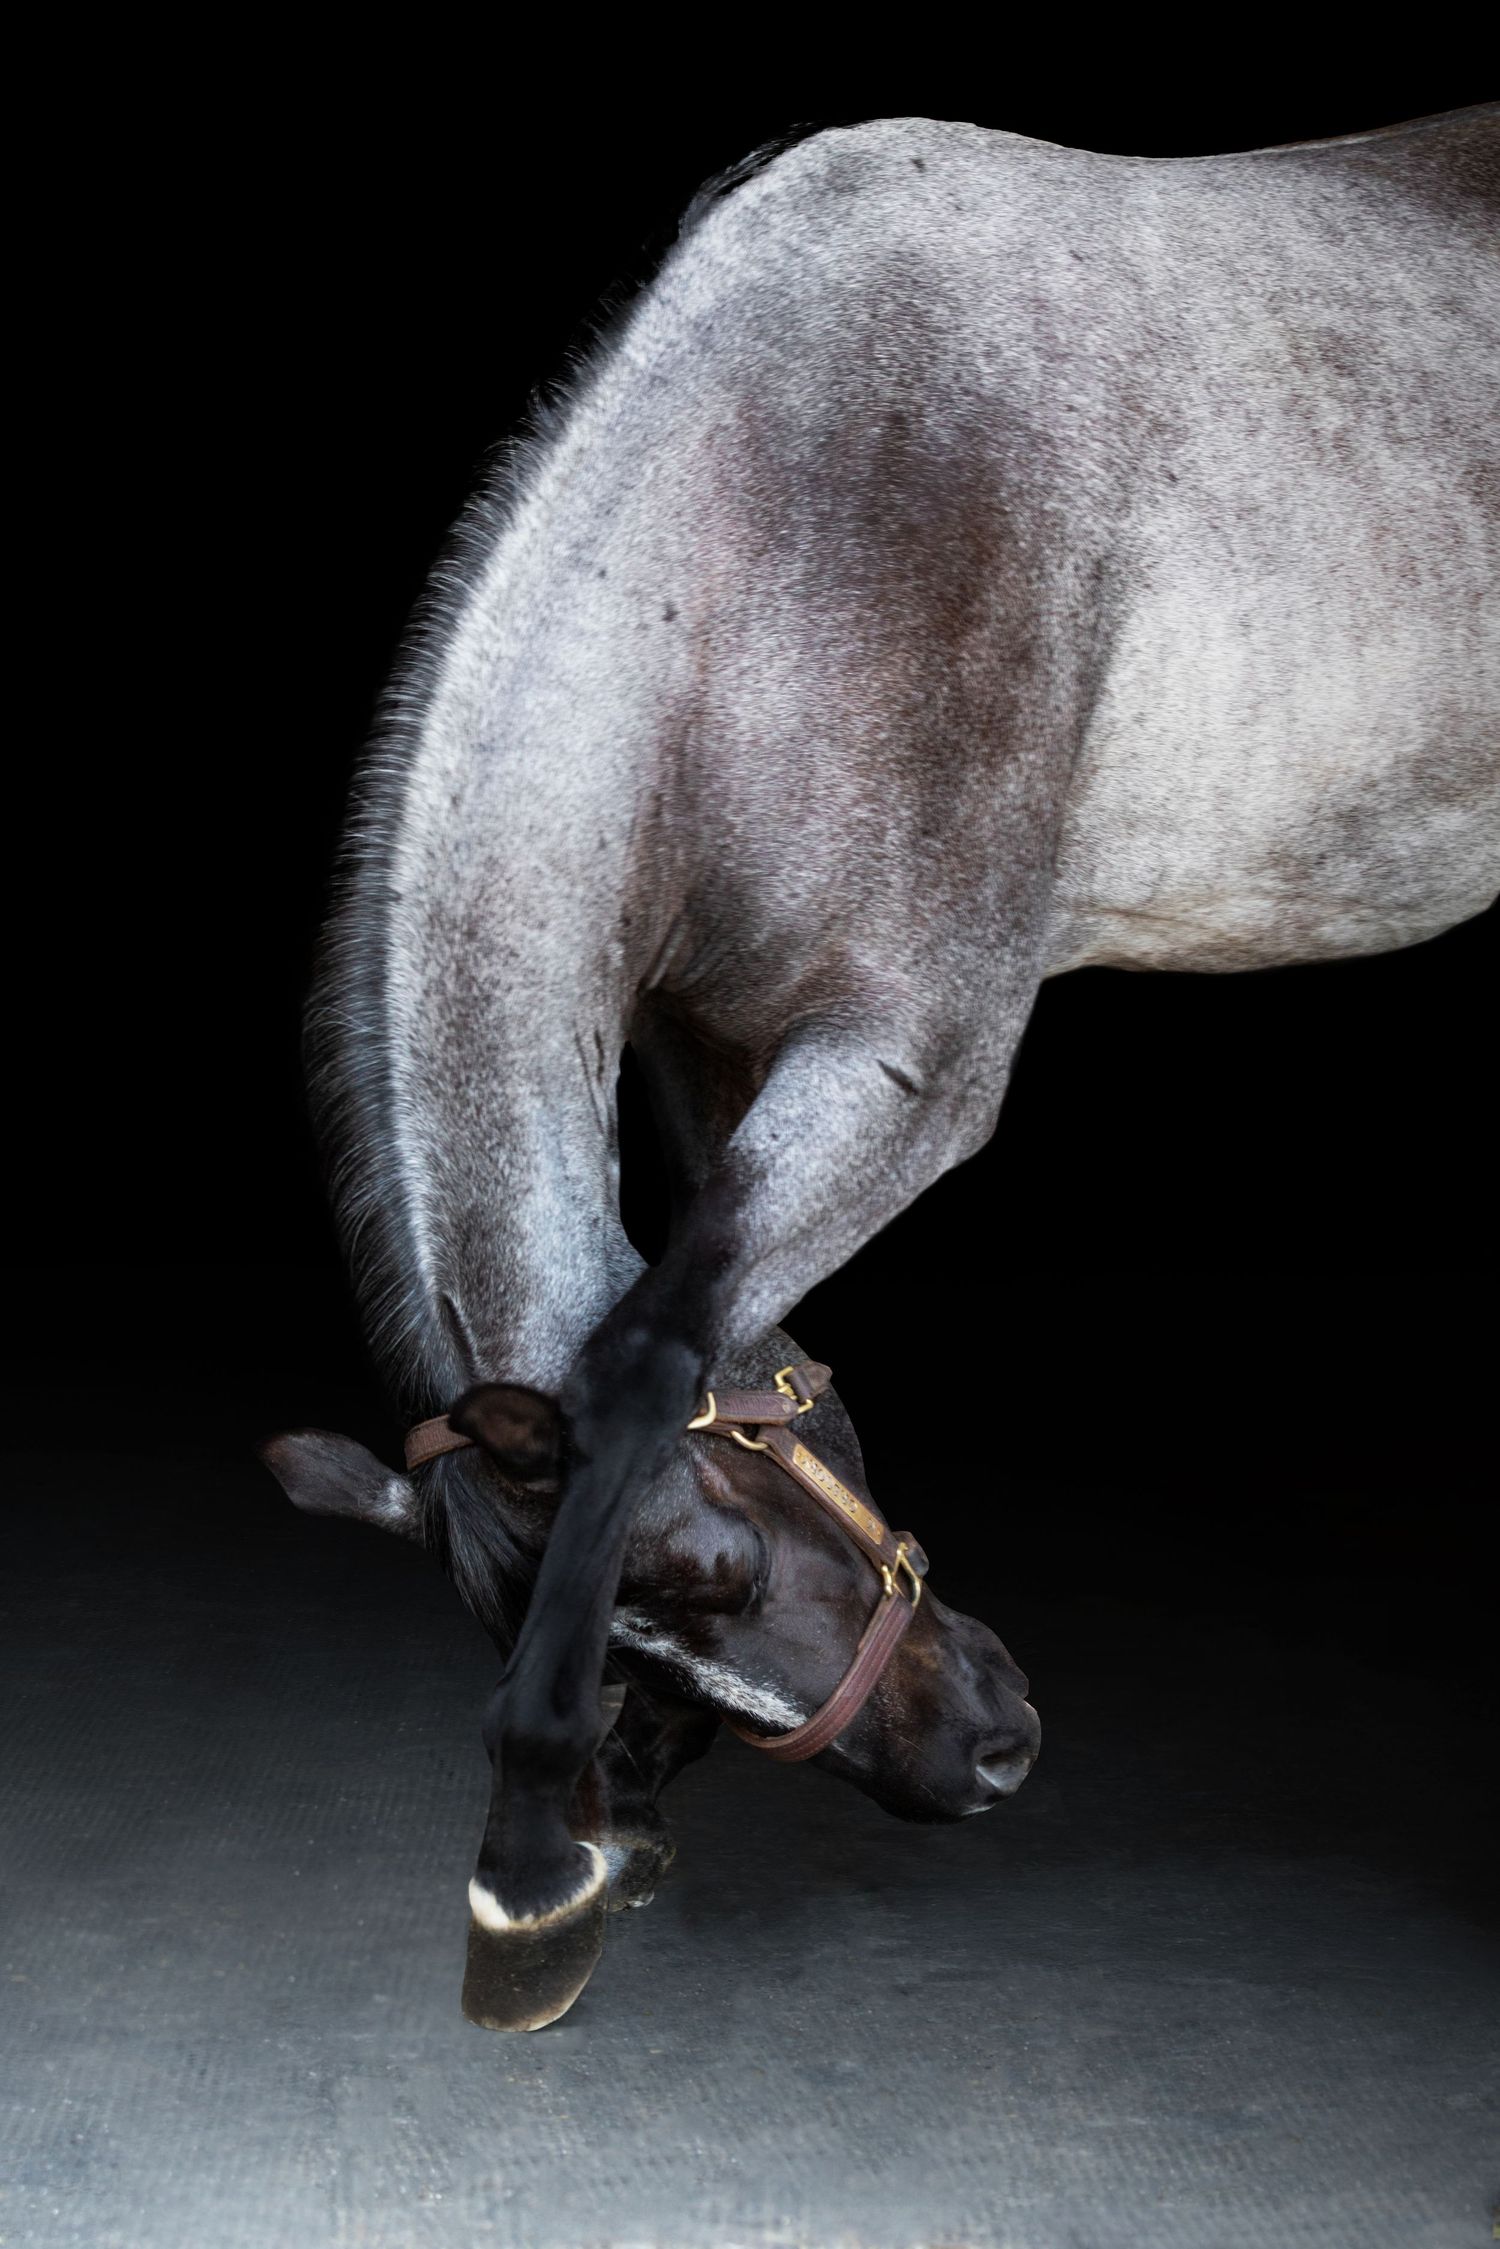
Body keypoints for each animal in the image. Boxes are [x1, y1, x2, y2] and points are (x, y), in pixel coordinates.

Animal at [261, 103, 1499, 2030]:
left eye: (713, 1565)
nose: (987, 1748)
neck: (783, 515)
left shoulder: (907, 1066)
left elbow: (641, 1362)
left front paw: (530, 1872)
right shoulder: (717, 1051)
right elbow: (727, 1324)